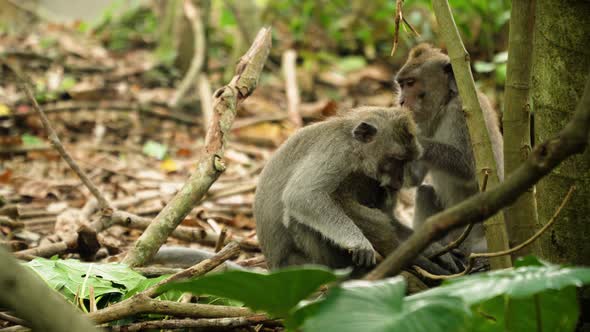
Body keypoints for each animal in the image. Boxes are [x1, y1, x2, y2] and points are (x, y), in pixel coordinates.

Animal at [256, 106, 458, 274]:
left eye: (407, 161)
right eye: (397, 160)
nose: (400, 180)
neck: (350, 139)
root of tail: (274, 266)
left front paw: (433, 247)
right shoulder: (337, 153)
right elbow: (301, 195)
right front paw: (359, 242)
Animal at [396, 43, 506, 252]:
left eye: (411, 83)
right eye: (401, 85)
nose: (401, 101)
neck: (444, 104)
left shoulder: (463, 114)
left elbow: (469, 168)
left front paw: (409, 138)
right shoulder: (423, 121)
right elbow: (414, 180)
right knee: (424, 192)